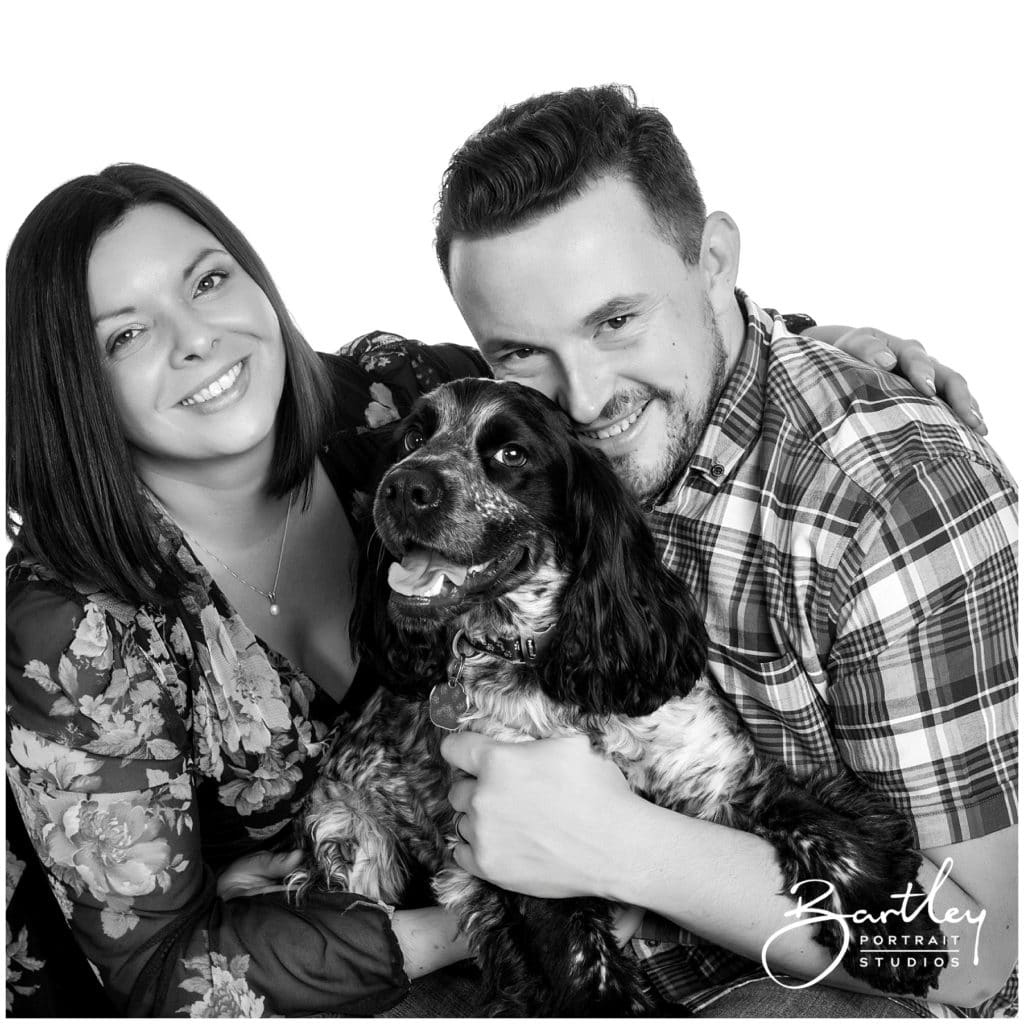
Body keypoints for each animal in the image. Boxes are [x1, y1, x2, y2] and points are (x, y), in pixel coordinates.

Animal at [294, 378, 942, 1015]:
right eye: (411, 437)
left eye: (511, 455)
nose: (404, 486)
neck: (548, 669)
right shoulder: (515, 848)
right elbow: (581, 962)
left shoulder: (718, 775)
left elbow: (824, 826)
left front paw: (893, 930)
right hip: (350, 839)